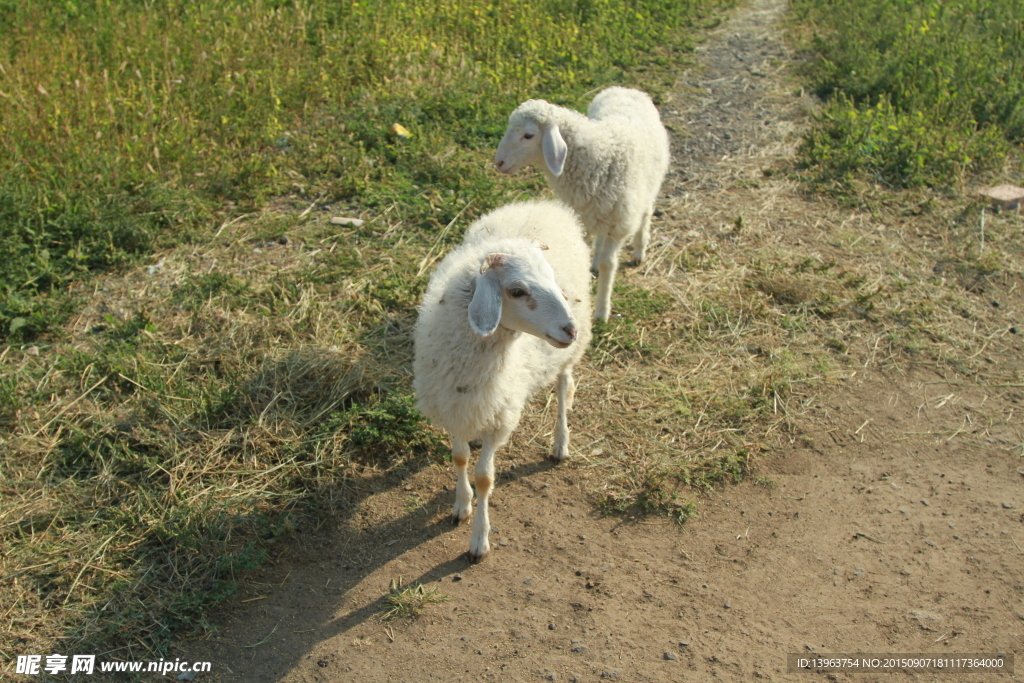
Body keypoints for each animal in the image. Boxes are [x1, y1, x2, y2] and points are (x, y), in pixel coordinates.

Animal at [411, 200, 593, 565]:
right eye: (517, 291)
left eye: (552, 277)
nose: (570, 329)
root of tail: (543, 204)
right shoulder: (455, 405)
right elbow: (459, 458)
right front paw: (461, 504)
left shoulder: (501, 416)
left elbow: (484, 478)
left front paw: (479, 539)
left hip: (566, 357)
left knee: (563, 389)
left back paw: (560, 443)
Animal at [489, 85, 667, 321]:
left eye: (528, 135)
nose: (499, 163)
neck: (599, 159)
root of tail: (625, 89)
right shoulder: (580, 219)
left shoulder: (619, 225)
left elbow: (609, 265)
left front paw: (602, 310)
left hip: (649, 186)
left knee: (645, 214)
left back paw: (639, 249)